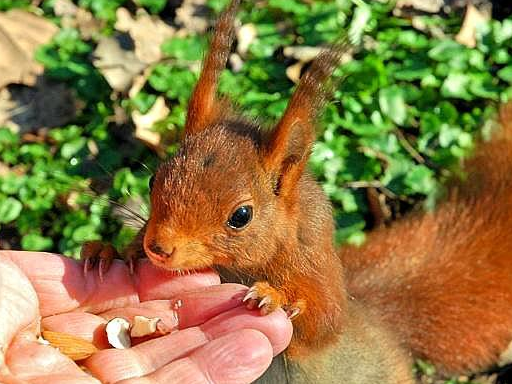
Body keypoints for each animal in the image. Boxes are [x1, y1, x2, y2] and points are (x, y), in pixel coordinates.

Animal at [81, 1, 512, 382]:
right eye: (153, 180)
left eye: (241, 216)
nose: (158, 247)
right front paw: (105, 252)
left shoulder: (313, 266)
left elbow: (324, 321)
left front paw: (277, 298)